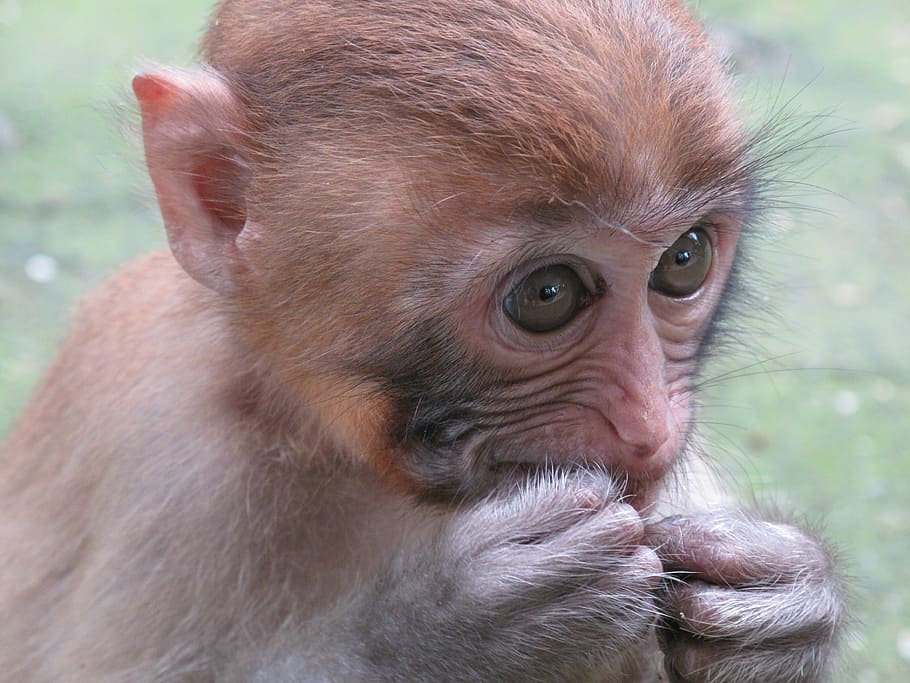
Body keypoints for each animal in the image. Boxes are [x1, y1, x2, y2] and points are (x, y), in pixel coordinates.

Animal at [0, 0, 845, 681]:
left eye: (684, 259)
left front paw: (793, 601)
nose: (648, 427)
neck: (318, 436)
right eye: (547, 295)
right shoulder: (175, 467)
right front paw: (442, 631)